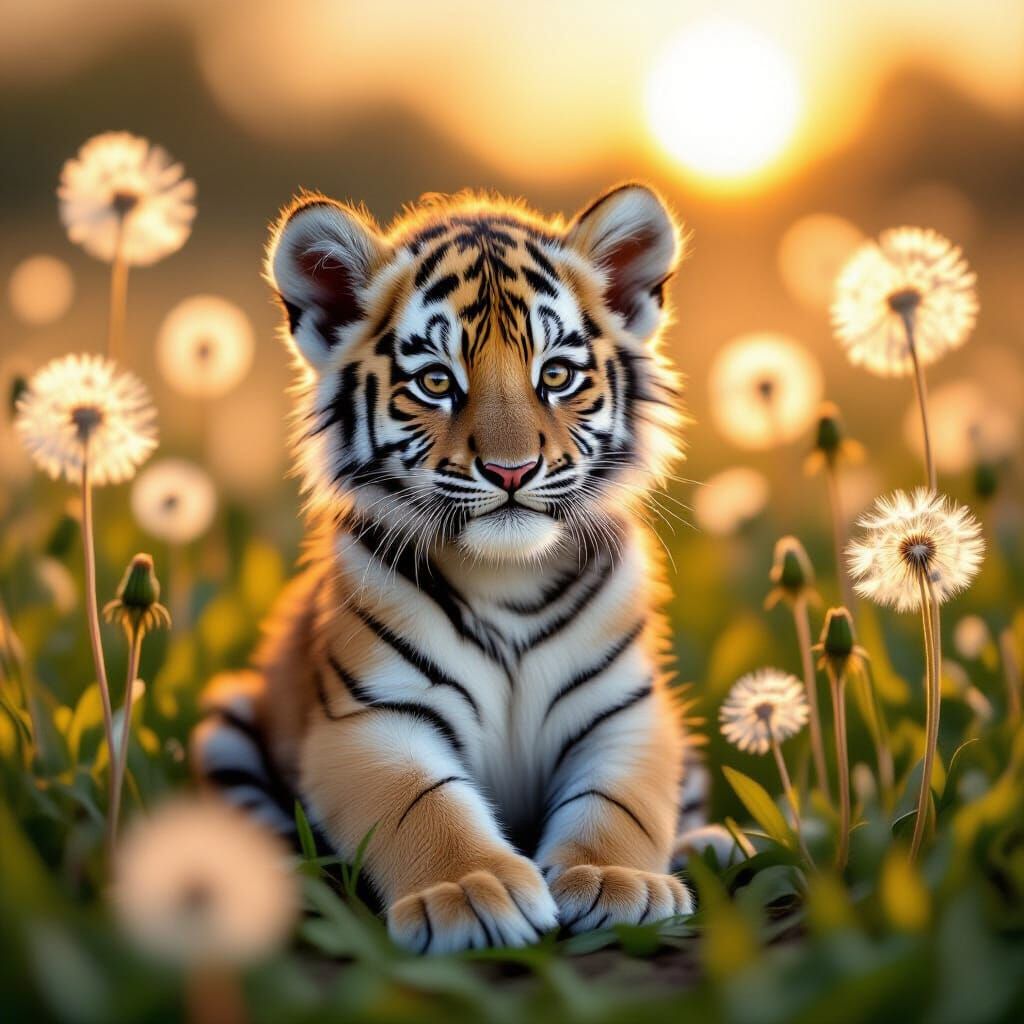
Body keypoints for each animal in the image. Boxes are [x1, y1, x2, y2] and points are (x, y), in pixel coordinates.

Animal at [191, 183, 709, 954]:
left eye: (556, 375)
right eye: (437, 381)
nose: (511, 470)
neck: (508, 581)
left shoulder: (628, 711)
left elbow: (622, 802)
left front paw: (617, 881)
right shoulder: (373, 719)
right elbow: (425, 804)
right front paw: (470, 894)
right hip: (227, 719)